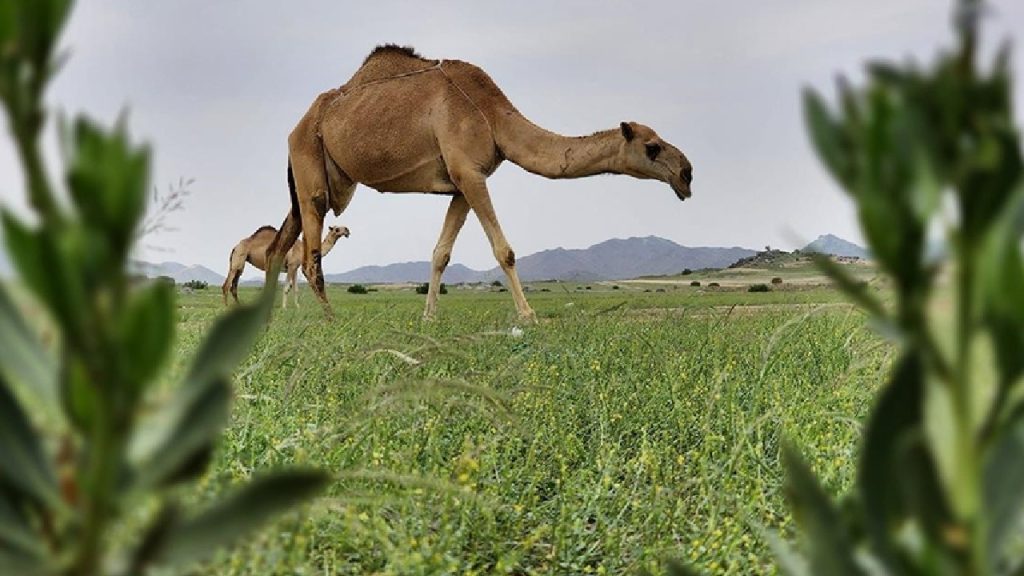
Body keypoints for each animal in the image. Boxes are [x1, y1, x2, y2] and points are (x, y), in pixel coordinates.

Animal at [222, 223, 350, 305]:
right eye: (336, 229)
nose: (347, 230)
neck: (302, 248)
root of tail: (235, 247)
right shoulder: (291, 265)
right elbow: (287, 287)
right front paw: (284, 308)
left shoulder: (295, 267)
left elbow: (296, 288)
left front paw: (297, 308)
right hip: (238, 259)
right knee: (227, 285)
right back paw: (226, 307)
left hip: (240, 264)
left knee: (234, 286)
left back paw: (238, 306)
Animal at [268, 45, 692, 317]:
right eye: (653, 147)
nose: (687, 173)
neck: (492, 115)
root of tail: (297, 126)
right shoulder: (469, 173)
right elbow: (504, 250)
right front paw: (527, 316)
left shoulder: (462, 182)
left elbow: (440, 253)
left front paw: (429, 317)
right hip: (310, 166)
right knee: (310, 255)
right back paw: (330, 319)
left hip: (312, 178)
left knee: (278, 246)